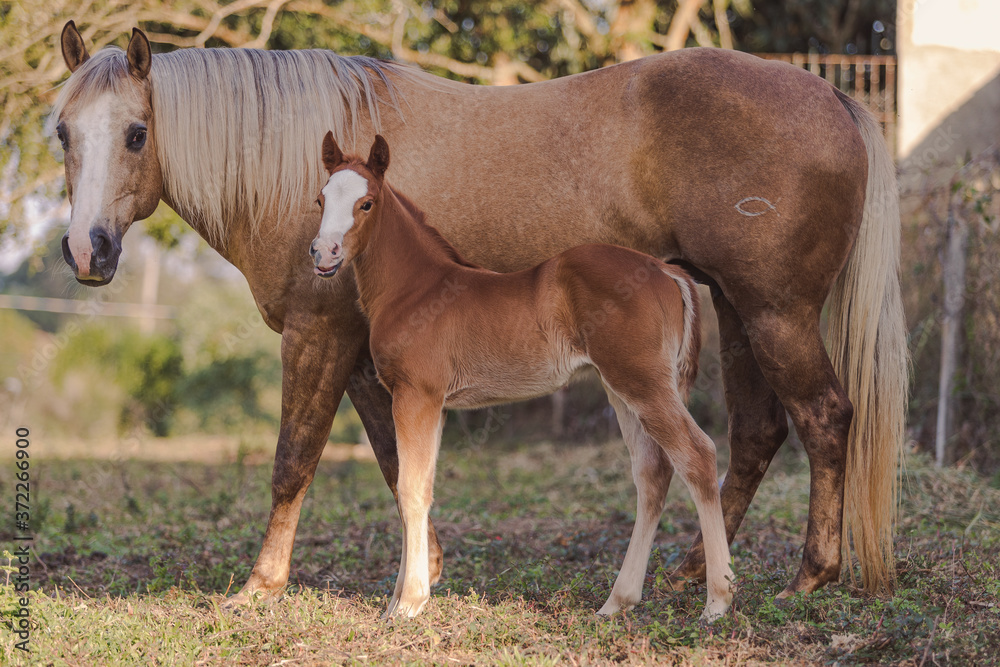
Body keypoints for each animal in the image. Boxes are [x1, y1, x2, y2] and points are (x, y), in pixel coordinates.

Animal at [312, 133, 736, 624]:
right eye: (321, 199)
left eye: (366, 203)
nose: (323, 253)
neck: (416, 289)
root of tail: (667, 270)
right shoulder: (435, 405)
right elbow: (419, 487)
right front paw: (399, 599)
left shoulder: (416, 396)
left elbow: (410, 489)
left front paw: (409, 604)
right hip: (623, 388)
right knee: (652, 474)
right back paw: (617, 602)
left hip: (642, 383)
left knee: (698, 456)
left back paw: (717, 601)